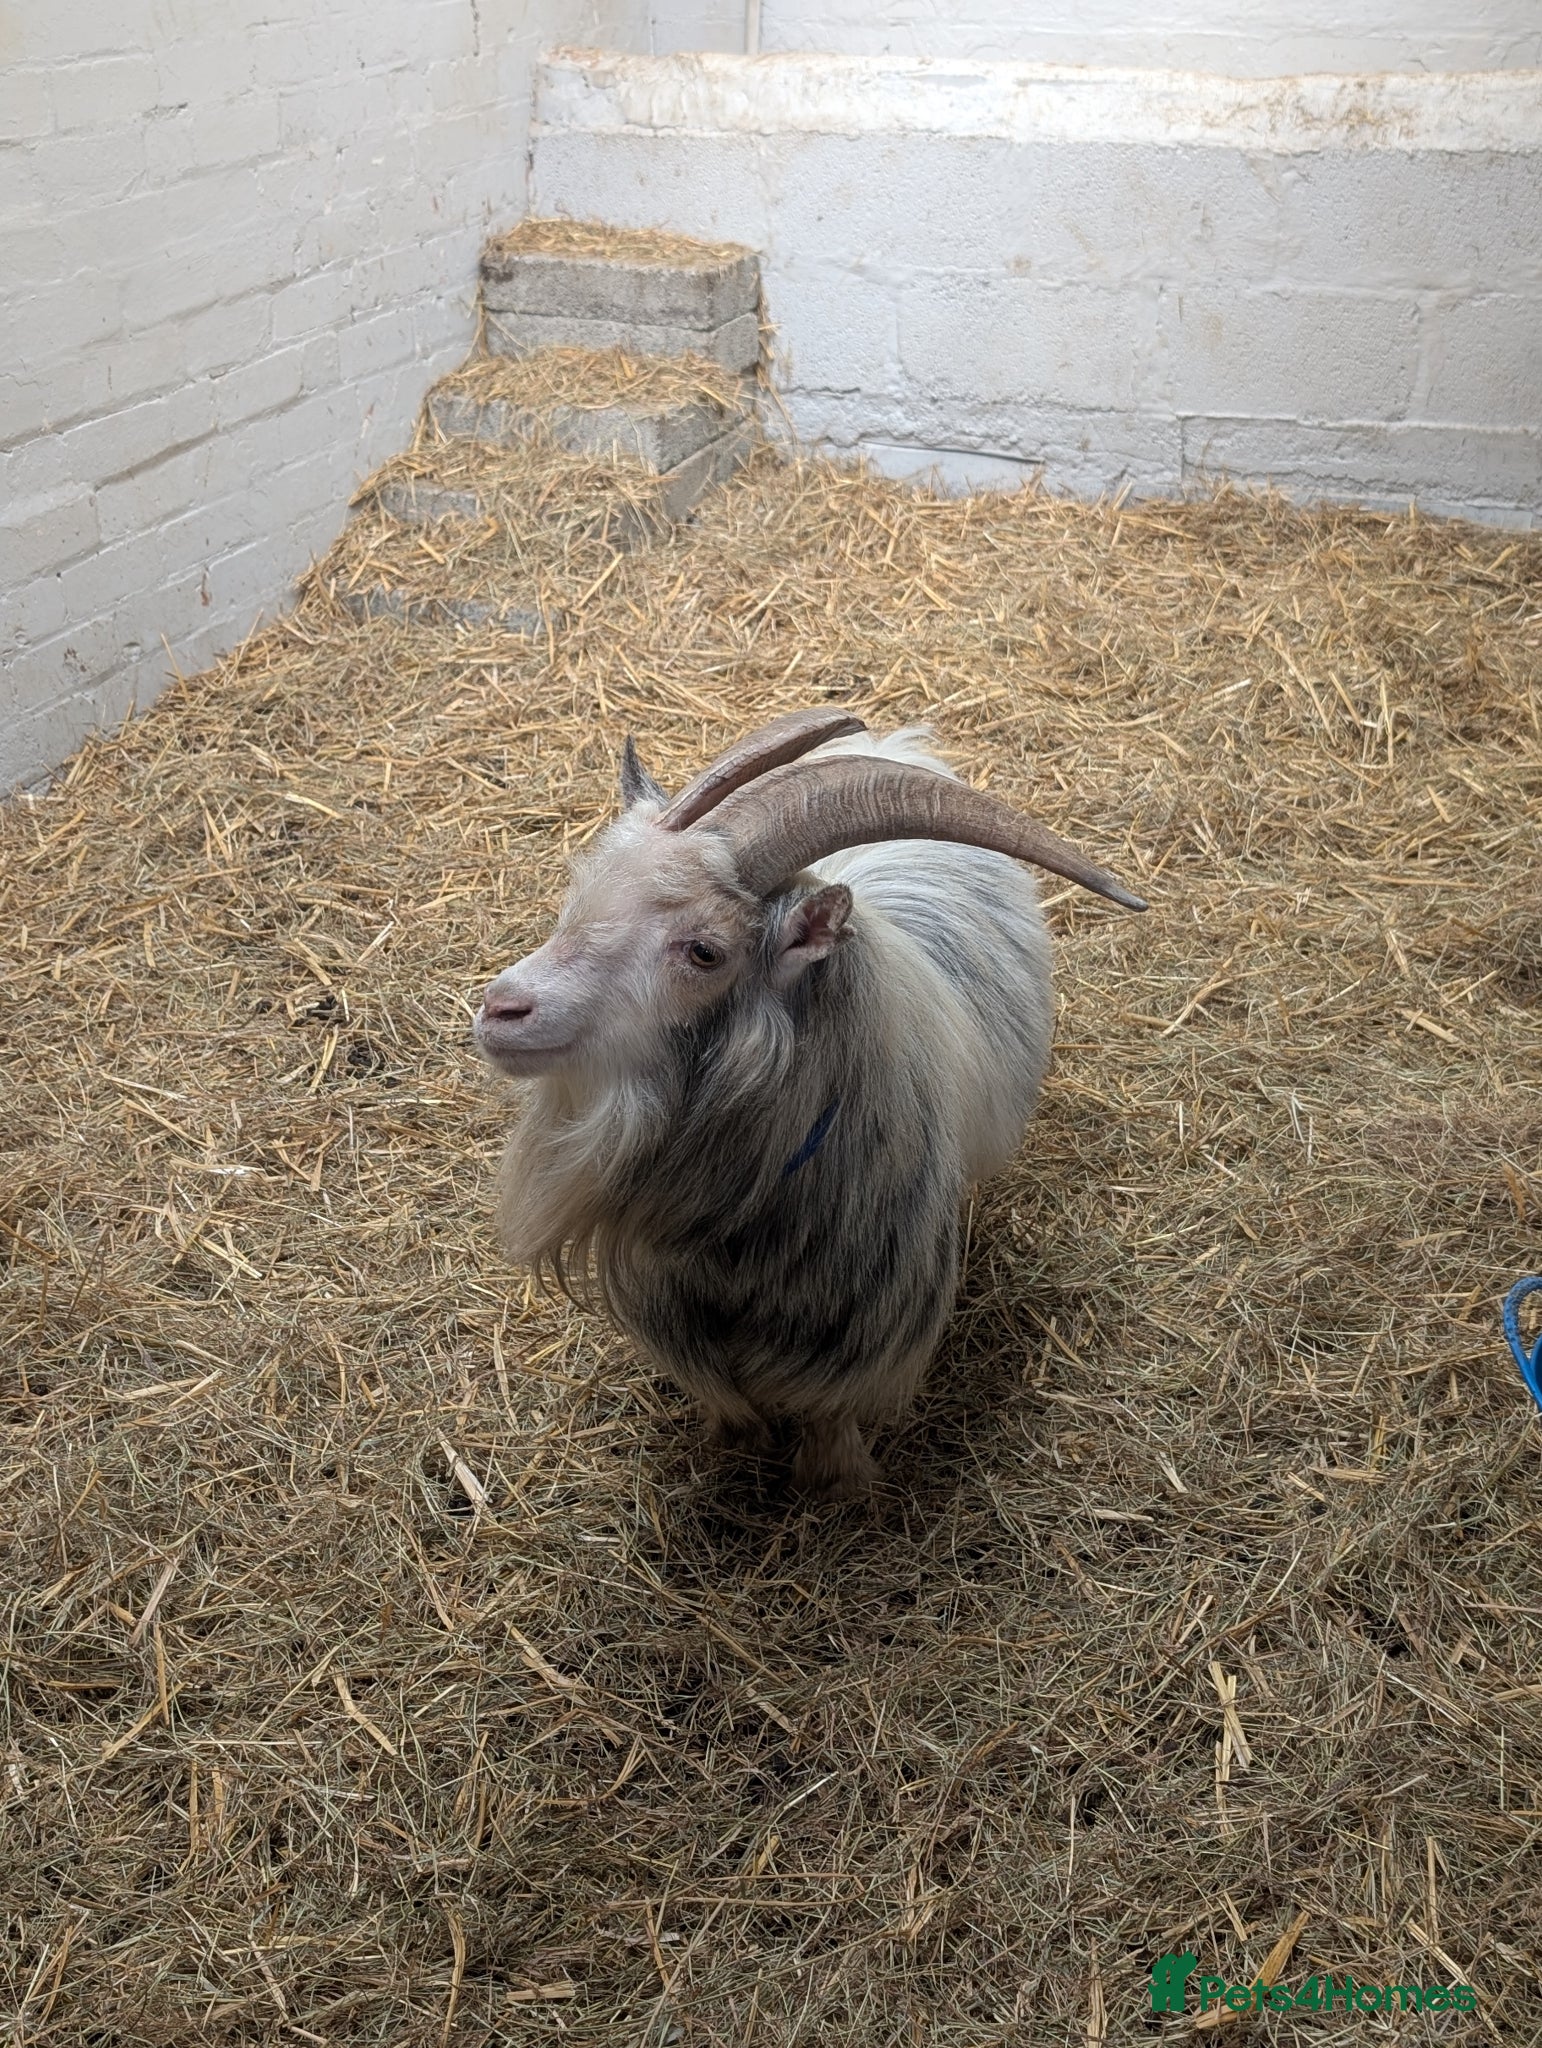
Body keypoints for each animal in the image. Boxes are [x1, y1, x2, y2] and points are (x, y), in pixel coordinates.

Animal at [475, 711, 1146, 1498]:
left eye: (705, 951)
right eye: (580, 895)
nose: (502, 1011)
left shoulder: (859, 1335)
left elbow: (830, 1424)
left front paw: (840, 1487)